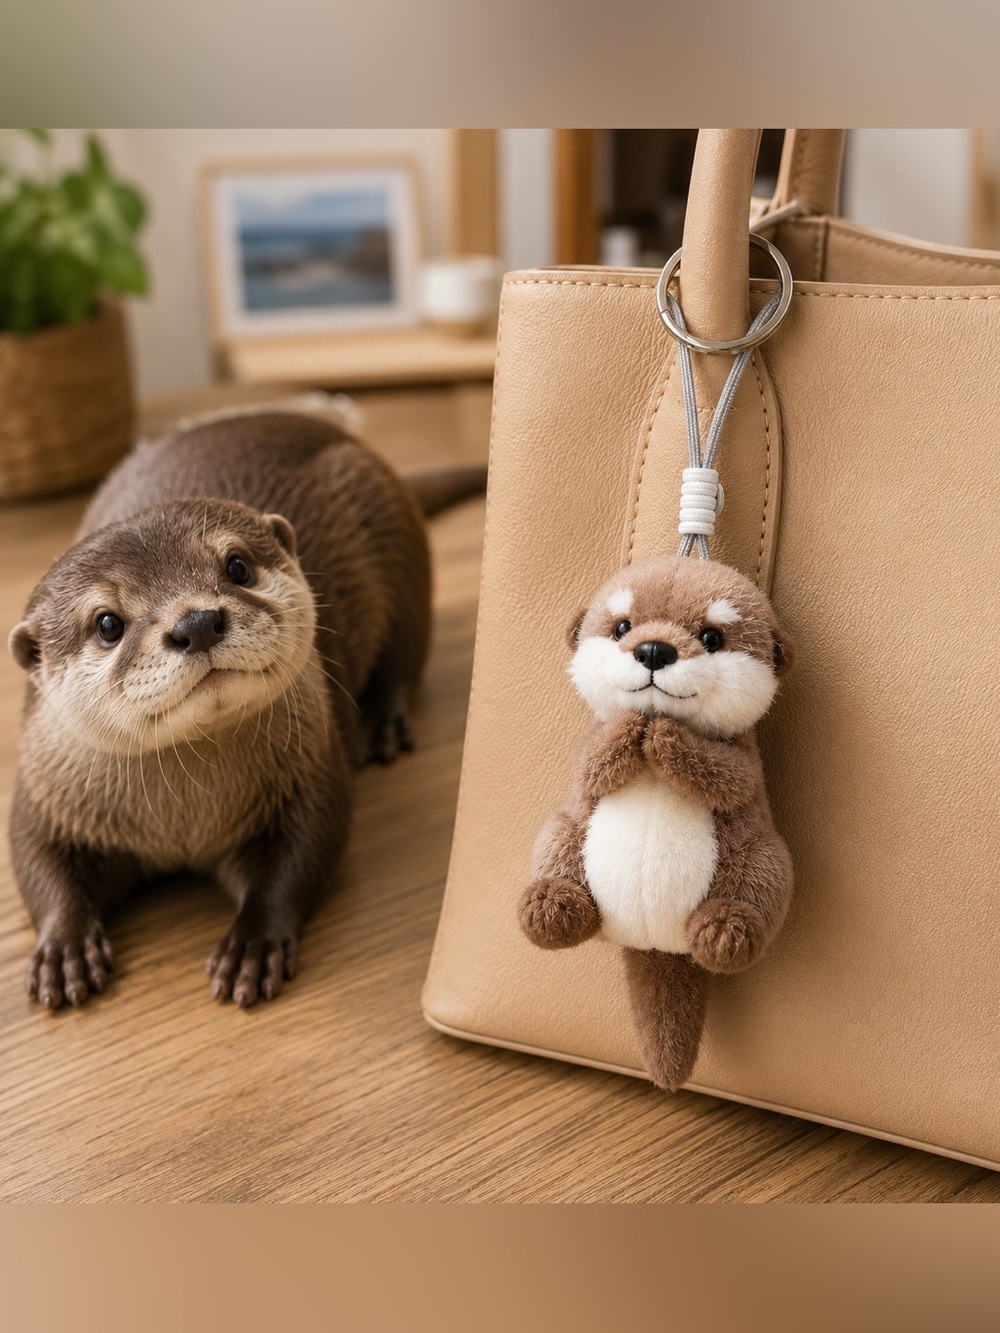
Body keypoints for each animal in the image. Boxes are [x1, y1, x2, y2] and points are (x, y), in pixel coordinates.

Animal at [9, 411, 482, 1010]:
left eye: (236, 567)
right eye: (107, 623)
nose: (196, 623)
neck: (182, 824)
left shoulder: (311, 766)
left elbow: (306, 849)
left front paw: (252, 944)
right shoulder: (43, 787)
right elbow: (34, 856)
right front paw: (63, 946)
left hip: (395, 542)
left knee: (405, 653)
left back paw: (381, 722)